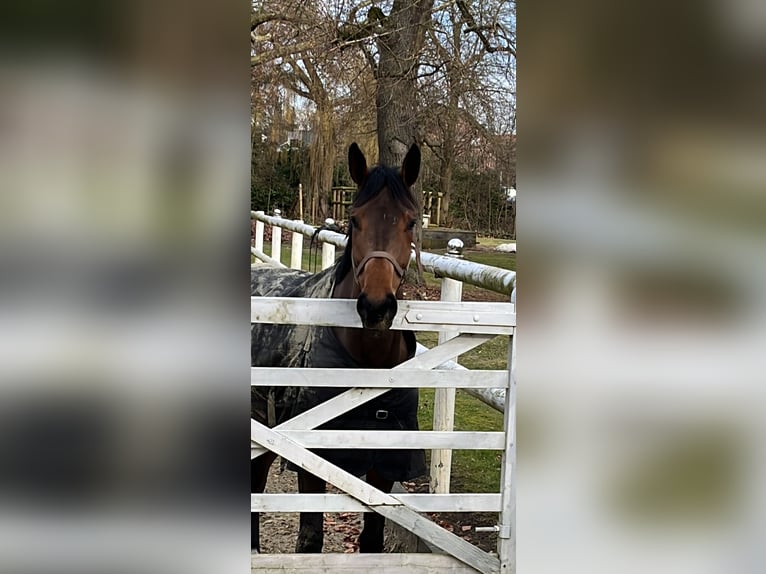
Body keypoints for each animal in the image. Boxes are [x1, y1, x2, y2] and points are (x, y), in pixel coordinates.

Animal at [255, 142, 428, 556]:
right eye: (354, 219)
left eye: (410, 221)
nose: (376, 307)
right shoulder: (312, 461)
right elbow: (310, 539)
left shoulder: (383, 467)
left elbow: (372, 541)